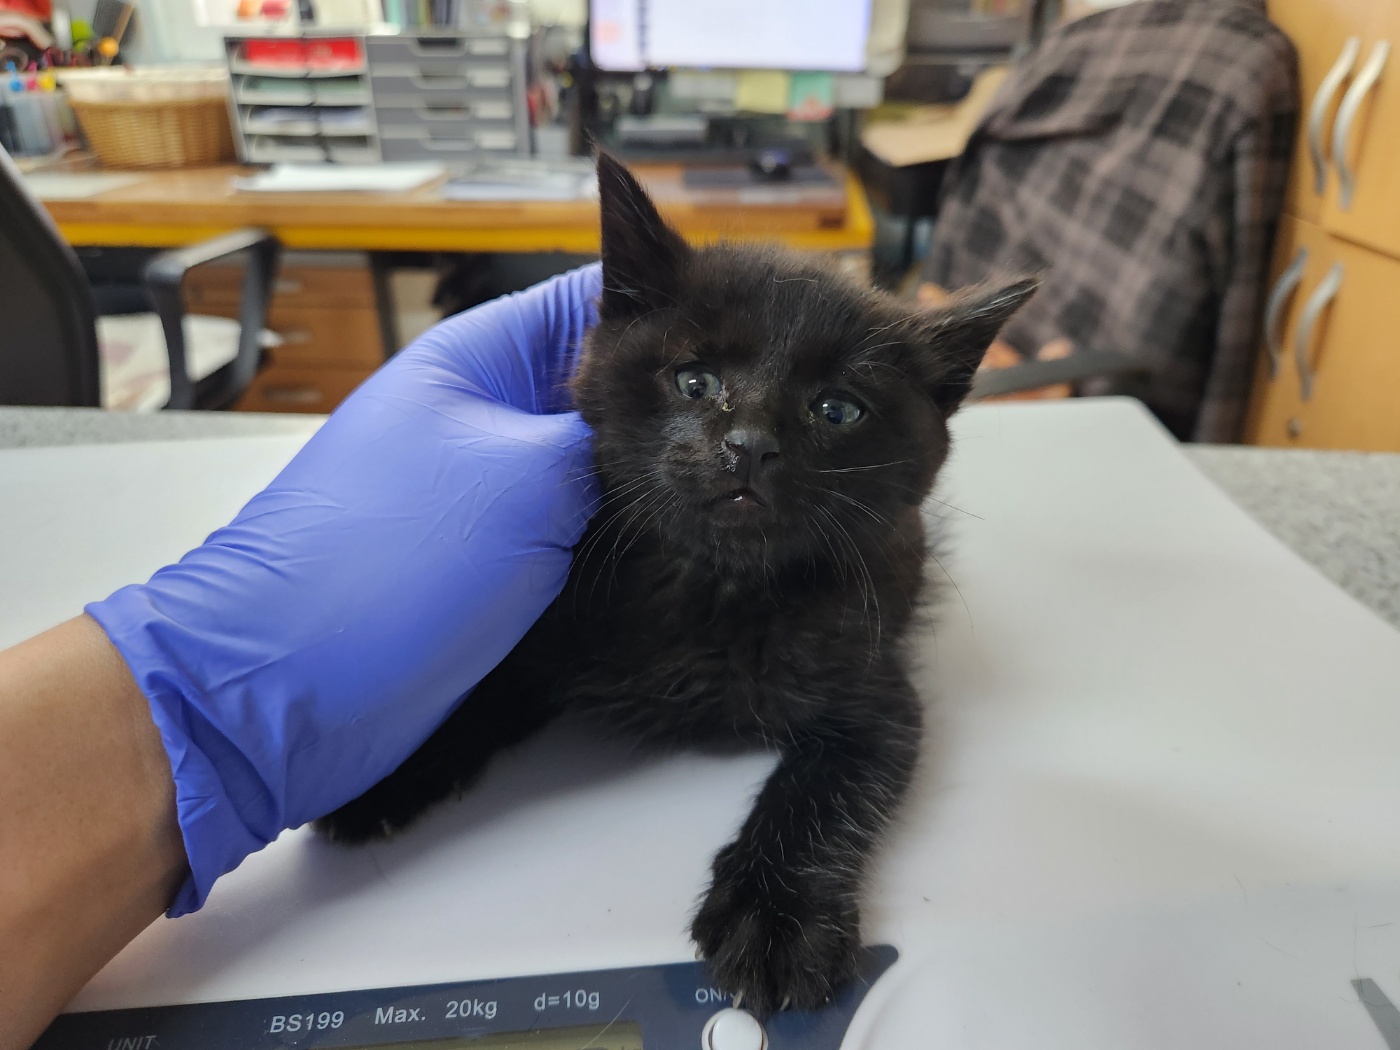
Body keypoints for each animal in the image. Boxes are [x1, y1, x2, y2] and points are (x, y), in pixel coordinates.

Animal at [320, 156, 1041, 1019]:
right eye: (694, 380)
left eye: (838, 409)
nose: (750, 445)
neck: (712, 584)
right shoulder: (541, 633)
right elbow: (474, 696)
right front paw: (385, 775)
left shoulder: (878, 693)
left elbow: (825, 785)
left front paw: (776, 918)